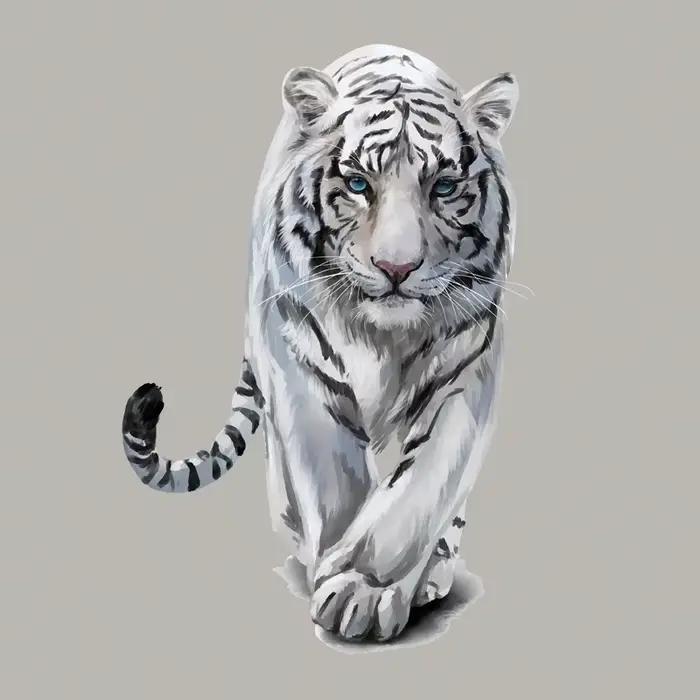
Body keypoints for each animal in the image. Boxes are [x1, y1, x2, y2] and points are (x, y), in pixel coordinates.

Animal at [121, 44, 519, 643]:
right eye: (358, 185)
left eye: (444, 189)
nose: (396, 268)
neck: (383, 335)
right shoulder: (299, 361)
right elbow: (333, 477)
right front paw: (342, 577)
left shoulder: (464, 369)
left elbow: (421, 487)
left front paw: (366, 586)